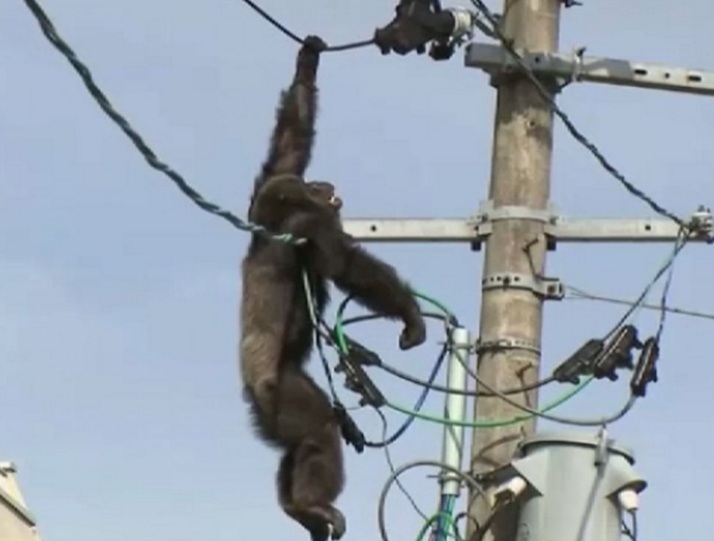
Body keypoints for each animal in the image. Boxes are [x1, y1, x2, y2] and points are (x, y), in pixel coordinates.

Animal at [239, 38, 428, 540]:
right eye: (313, 188)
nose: (324, 184)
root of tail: (252, 393)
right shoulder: (312, 226)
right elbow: (346, 266)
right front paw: (412, 318)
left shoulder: (268, 189)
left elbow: (288, 146)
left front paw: (308, 61)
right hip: (284, 398)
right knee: (320, 429)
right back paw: (312, 503)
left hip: (275, 411)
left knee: (295, 450)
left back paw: (296, 508)